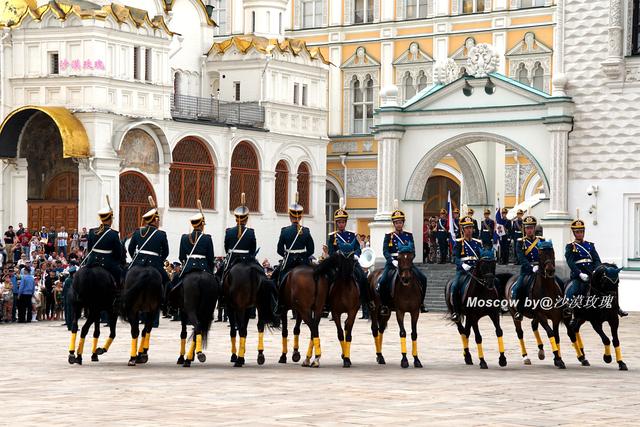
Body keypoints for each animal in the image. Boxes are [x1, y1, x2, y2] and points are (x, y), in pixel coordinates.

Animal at [314, 242, 360, 370]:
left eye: (352, 255)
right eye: (342, 256)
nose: (348, 274)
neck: (345, 288)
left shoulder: (353, 311)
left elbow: (348, 333)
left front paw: (347, 359)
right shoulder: (335, 313)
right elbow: (340, 334)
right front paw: (345, 357)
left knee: (347, 326)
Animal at [504, 242, 564, 370]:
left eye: (553, 252)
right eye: (540, 254)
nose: (550, 270)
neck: (547, 290)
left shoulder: (556, 317)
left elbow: (556, 336)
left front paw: (558, 358)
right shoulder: (541, 315)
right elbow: (550, 333)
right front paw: (557, 358)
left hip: (535, 316)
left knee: (533, 325)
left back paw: (541, 350)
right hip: (515, 314)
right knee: (520, 332)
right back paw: (525, 357)